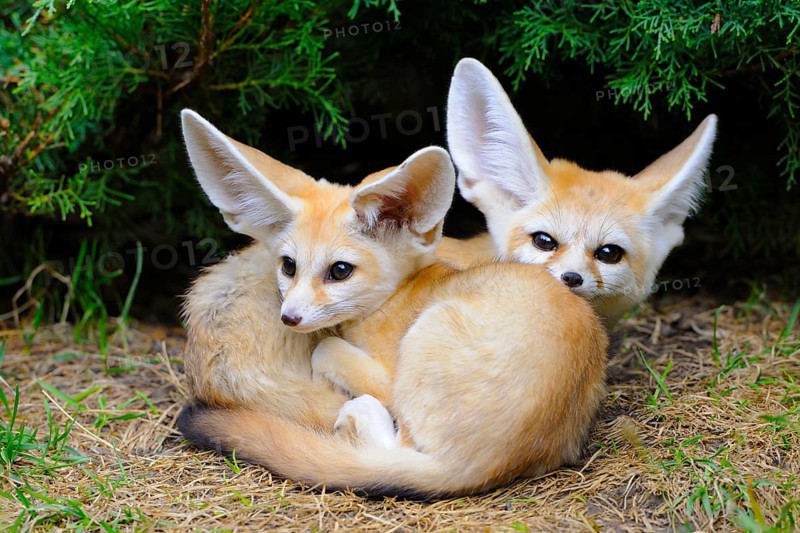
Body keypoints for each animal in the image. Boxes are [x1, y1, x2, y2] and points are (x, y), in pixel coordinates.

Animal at [177, 111, 609, 498]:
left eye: (340, 271)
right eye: (288, 266)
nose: (289, 318)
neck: (396, 296)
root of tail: (488, 465)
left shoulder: (385, 374)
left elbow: (324, 348)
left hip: (425, 341)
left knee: (393, 445)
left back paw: (358, 415)